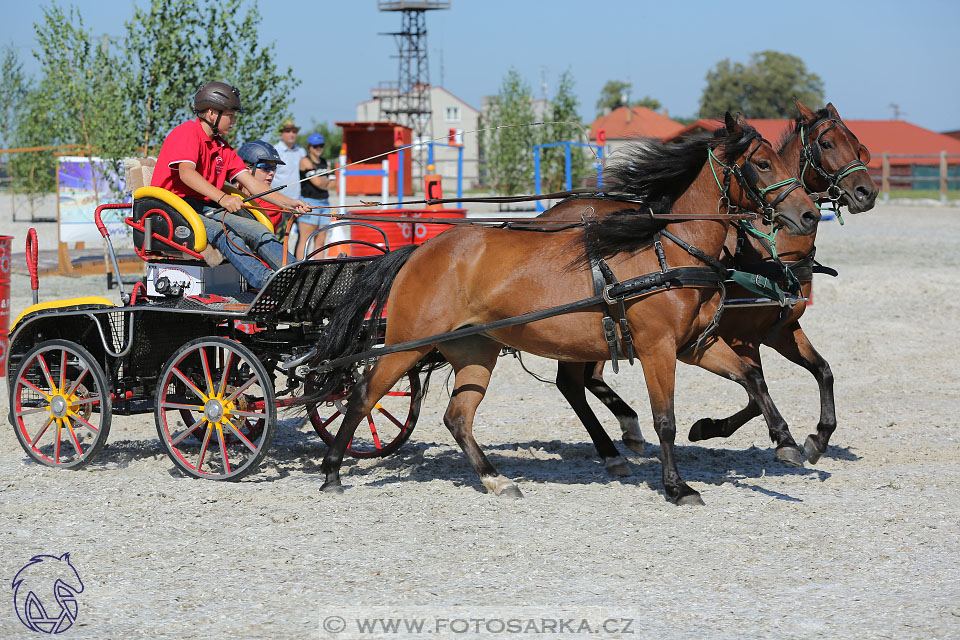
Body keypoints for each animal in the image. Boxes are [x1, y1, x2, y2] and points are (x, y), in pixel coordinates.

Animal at [314, 114, 816, 504]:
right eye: (762, 163)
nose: (810, 214)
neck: (669, 250)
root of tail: (419, 251)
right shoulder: (658, 349)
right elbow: (665, 420)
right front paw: (677, 487)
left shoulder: (697, 345)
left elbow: (752, 379)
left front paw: (784, 441)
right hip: (406, 345)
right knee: (362, 396)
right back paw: (332, 471)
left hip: (474, 350)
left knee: (458, 417)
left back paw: (496, 480)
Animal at [540, 100, 876, 470]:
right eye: (827, 144)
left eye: (858, 145)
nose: (866, 193)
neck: (766, 250)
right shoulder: (740, 336)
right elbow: (756, 392)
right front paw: (719, 429)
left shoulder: (780, 330)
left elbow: (822, 371)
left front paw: (819, 437)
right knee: (572, 383)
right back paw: (615, 445)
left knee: (586, 379)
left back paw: (627, 430)